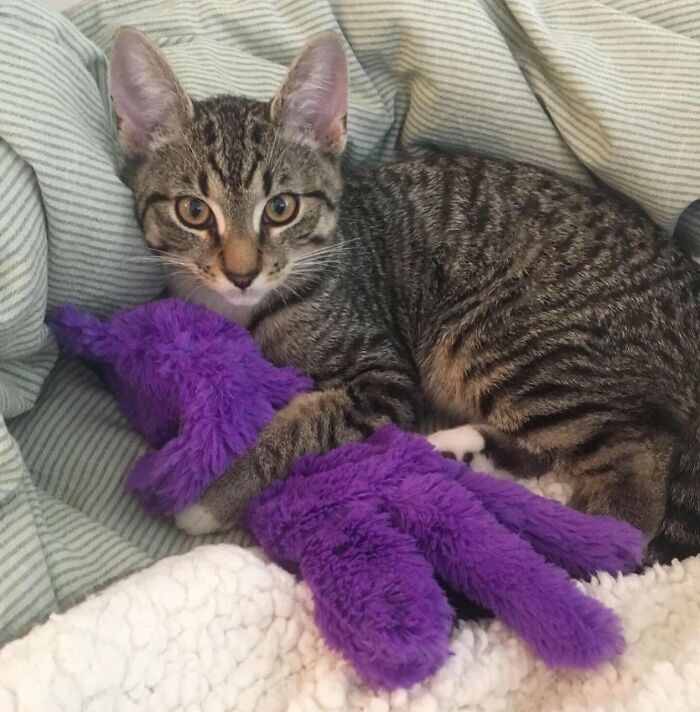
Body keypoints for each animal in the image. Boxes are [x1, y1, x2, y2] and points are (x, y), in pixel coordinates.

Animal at [110, 27, 700, 560]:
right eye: (194, 211)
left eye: (280, 208)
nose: (241, 274)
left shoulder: (384, 375)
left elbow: (300, 427)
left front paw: (211, 493)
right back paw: (459, 452)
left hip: (511, 340)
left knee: (641, 458)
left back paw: (581, 545)